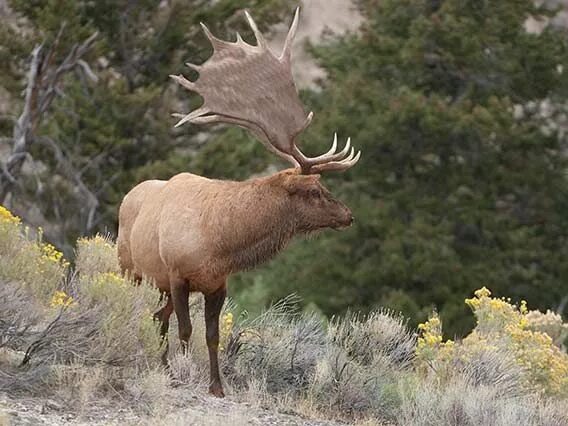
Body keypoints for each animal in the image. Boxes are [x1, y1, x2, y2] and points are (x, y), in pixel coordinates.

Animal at [117, 8, 362, 398]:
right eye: (314, 190)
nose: (348, 215)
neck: (218, 242)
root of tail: (128, 195)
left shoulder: (218, 284)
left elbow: (212, 335)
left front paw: (216, 385)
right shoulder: (177, 274)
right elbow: (187, 330)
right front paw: (186, 374)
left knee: (158, 317)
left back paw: (162, 364)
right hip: (129, 267)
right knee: (139, 310)